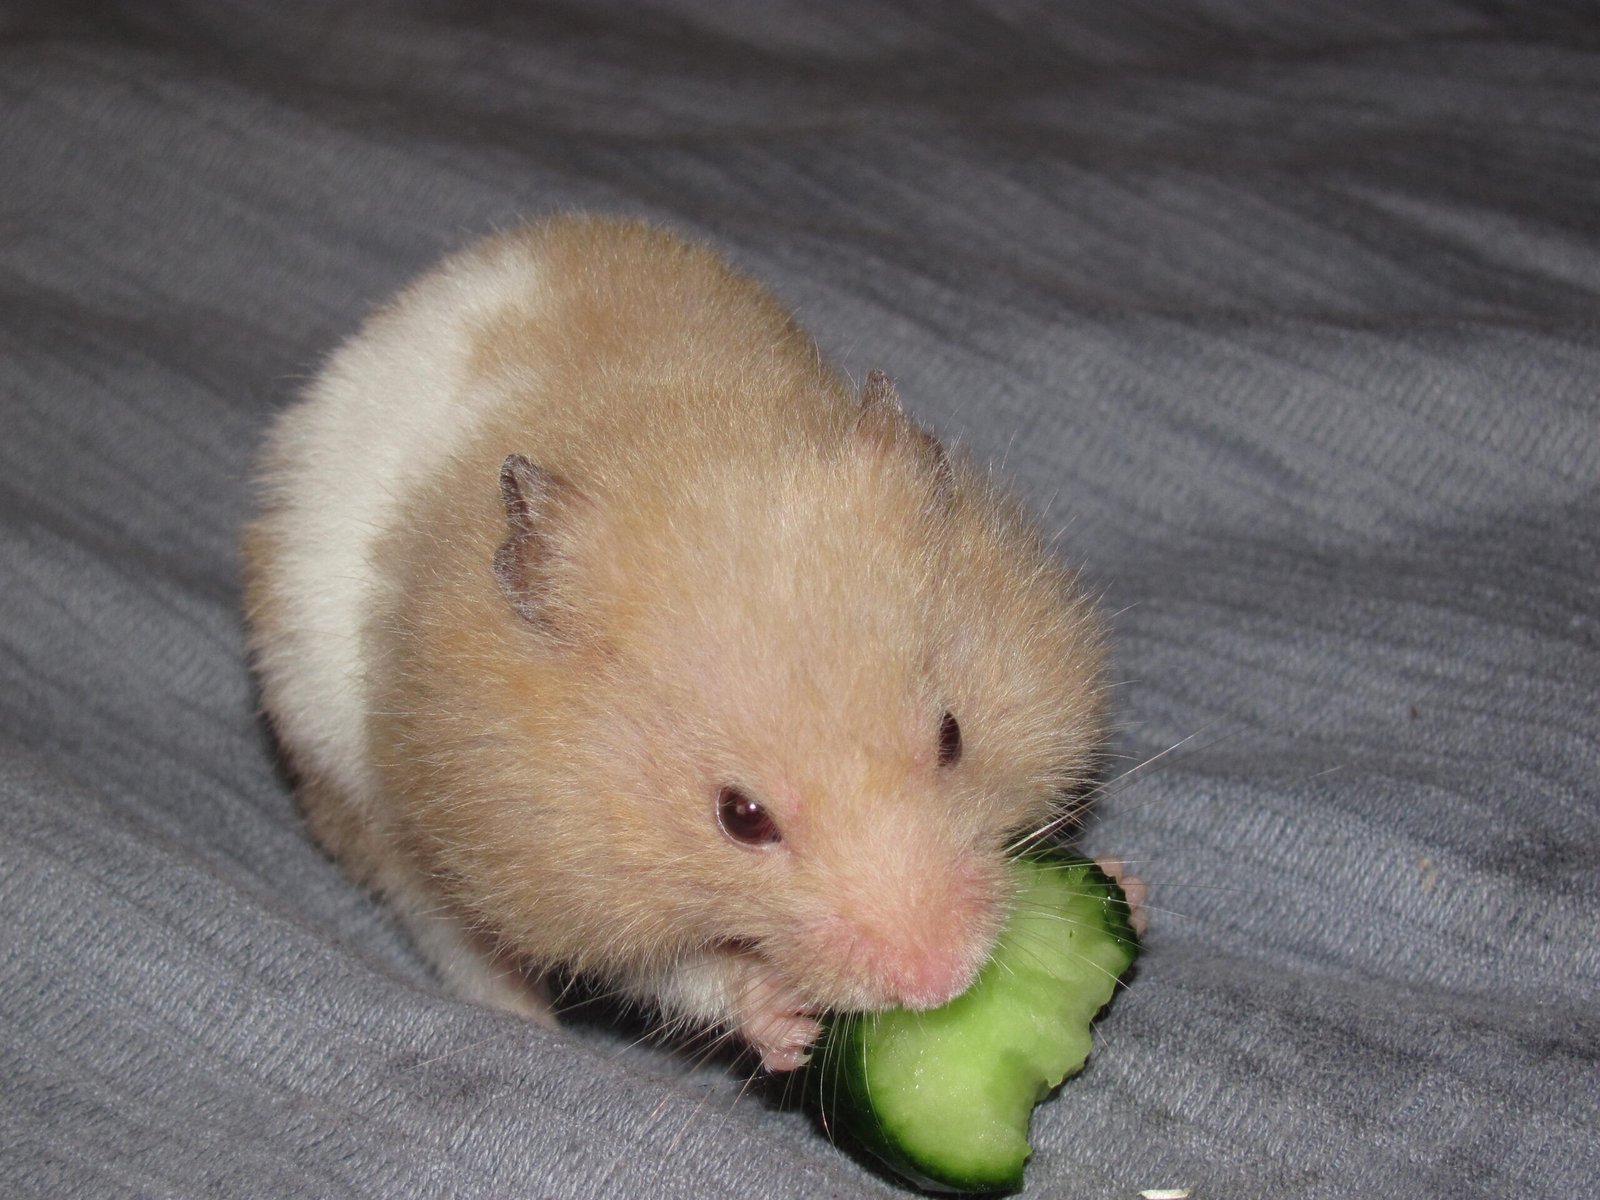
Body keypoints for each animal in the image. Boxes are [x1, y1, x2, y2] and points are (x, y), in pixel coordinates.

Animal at [242, 216, 1109, 1072]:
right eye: (741, 818)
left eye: (952, 736)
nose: (942, 980)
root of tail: (398, 308)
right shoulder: (571, 881)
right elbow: (672, 971)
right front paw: (783, 1023)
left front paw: (1122, 885)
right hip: (367, 809)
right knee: (452, 934)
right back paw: (530, 1025)